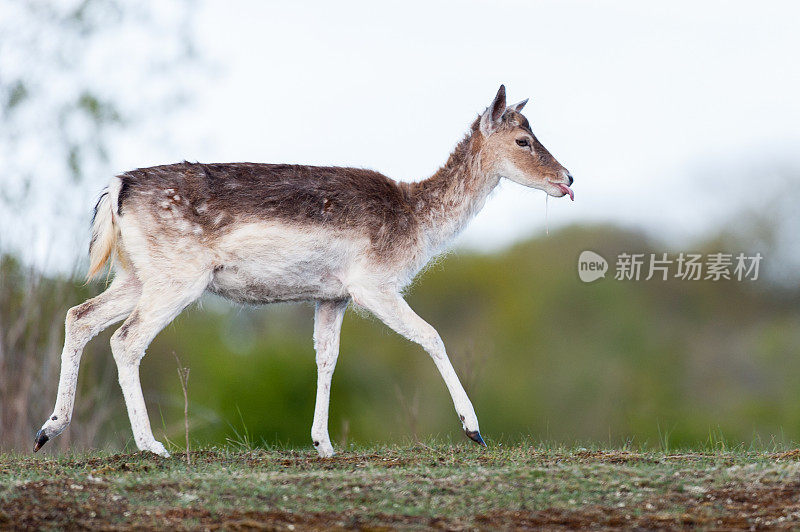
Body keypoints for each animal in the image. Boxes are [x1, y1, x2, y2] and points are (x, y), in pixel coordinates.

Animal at [36, 86, 576, 458]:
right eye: (523, 139)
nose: (569, 177)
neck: (417, 225)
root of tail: (117, 186)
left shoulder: (332, 294)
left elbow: (326, 356)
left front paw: (323, 444)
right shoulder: (372, 284)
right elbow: (432, 335)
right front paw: (474, 429)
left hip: (135, 276)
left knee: (79, 315)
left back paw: (48, 429)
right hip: (177, 279)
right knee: (126, 339)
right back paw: (152, 446)